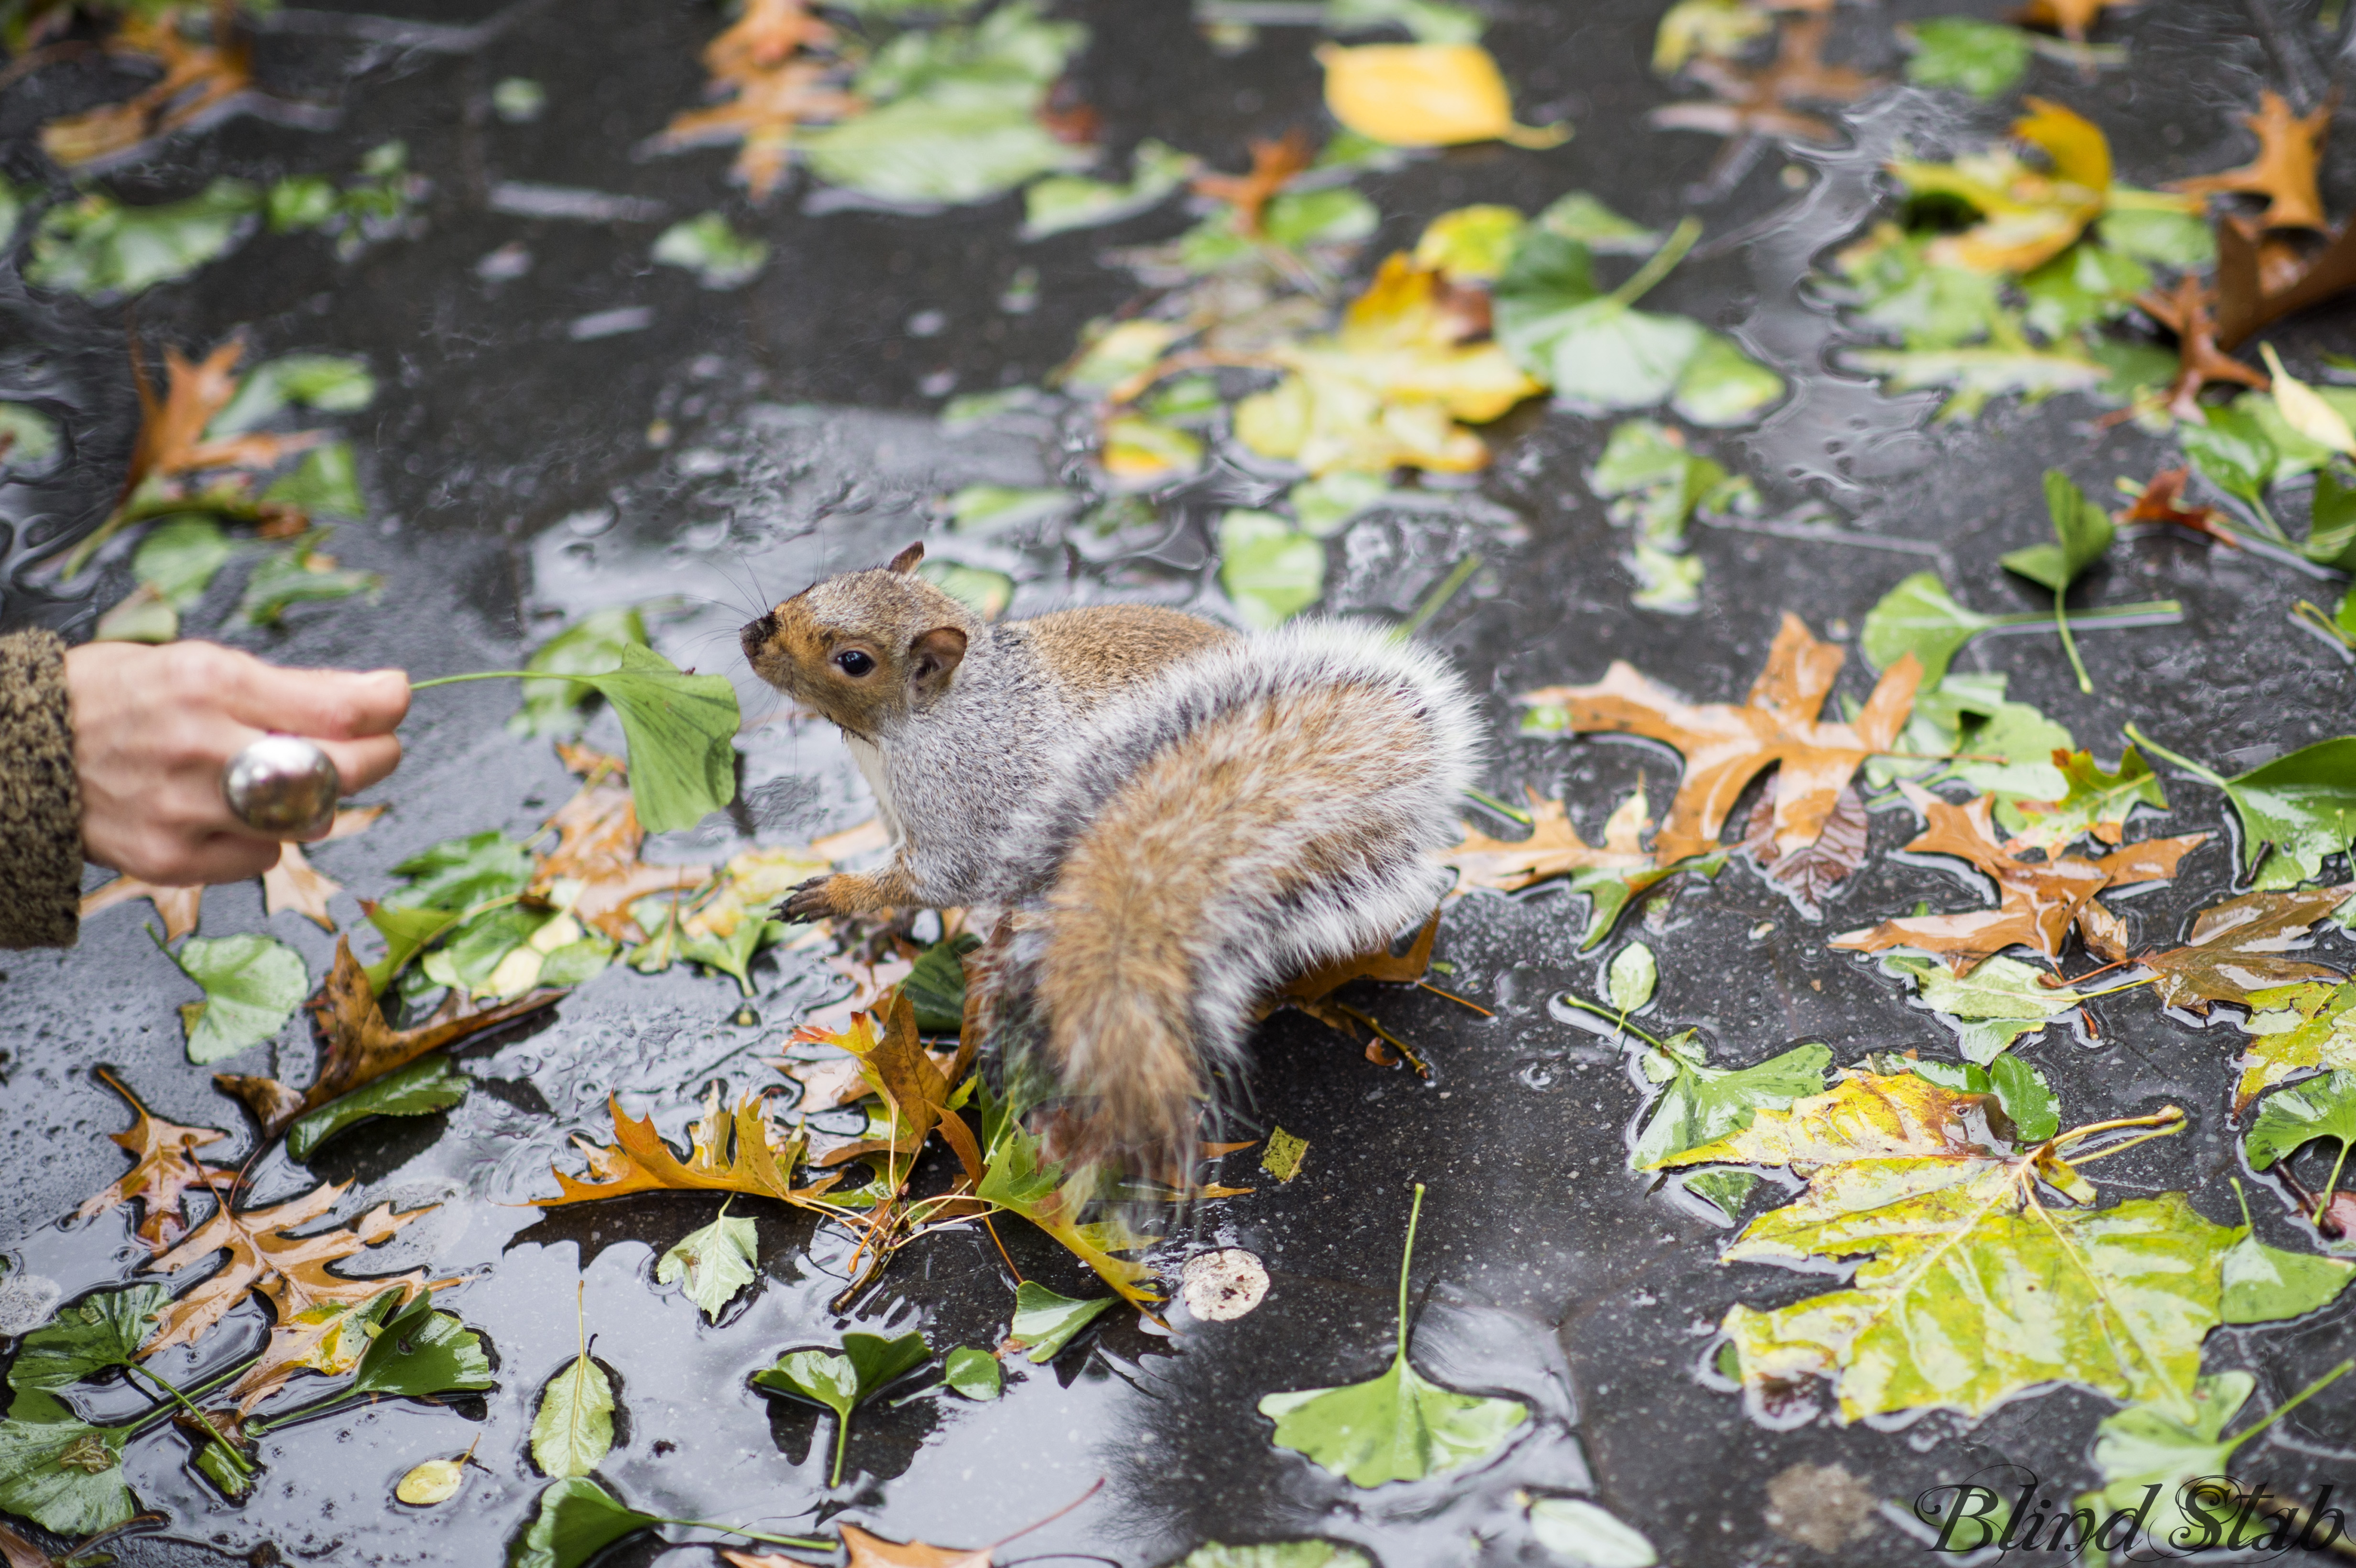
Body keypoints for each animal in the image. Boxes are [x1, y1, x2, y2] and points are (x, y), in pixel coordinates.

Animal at [740, 536, 1470, 1158]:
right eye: (818, 584)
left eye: (853, 662)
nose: (750, 638)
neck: (919, 727)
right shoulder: (896, 818)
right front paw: (870, 927)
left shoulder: (963, 808)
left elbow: (940, 878)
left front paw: (835, 897)